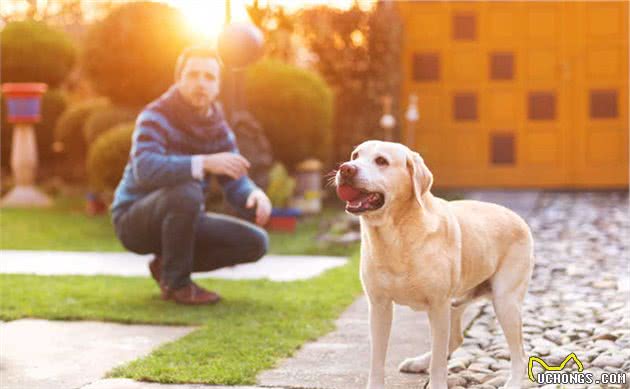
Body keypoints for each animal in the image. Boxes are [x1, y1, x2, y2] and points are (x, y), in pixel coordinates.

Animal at [334, 141, 536, 388]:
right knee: (456, 338)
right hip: (458, 303)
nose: (346, 169)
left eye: (381, 161)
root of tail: (518, 217)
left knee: (519, 354)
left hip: (505, 302)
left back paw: (514, 382)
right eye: (355, 156)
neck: (397, 236)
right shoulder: (379, 306)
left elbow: (439, 362)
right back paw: (419, 362)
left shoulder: (438, 306)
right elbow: (377, 359)